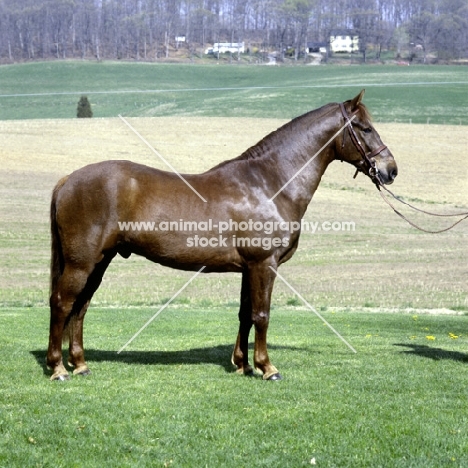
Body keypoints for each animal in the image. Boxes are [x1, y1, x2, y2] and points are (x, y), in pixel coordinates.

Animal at [47, 90, 398, 380]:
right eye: (364, 128)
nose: (390, 170)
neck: (269, 184)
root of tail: (67, 180)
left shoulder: (248, 268)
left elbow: (245, 314)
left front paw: (242, 364)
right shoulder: (264, 264)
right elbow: (261, 314)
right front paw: (267, 368)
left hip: (99, 262)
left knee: (80, 307)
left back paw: (80, 364)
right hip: (81, 263)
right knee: (62, 303)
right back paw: (58, 368)